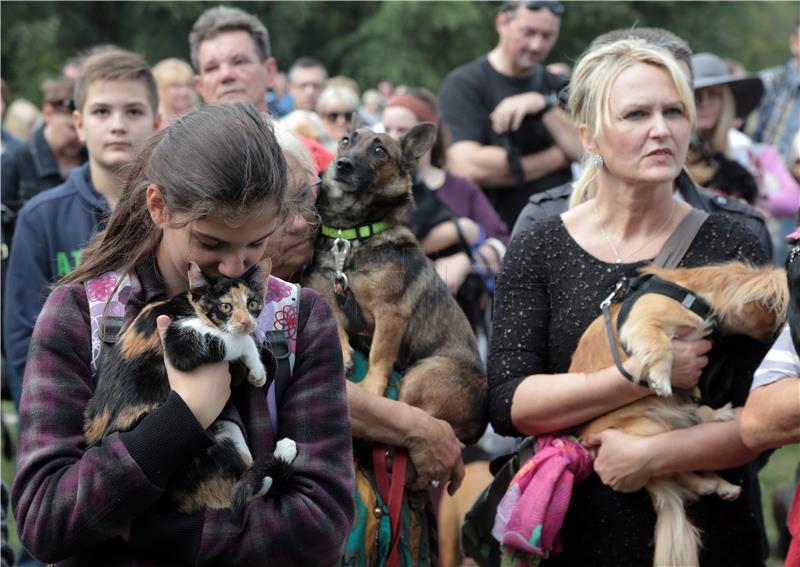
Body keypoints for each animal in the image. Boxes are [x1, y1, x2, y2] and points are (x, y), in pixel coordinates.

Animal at [84, 260, 296, 520]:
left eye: (253, 304)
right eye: (225, 306)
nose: (247, 322)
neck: (191, 306)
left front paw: (256, 370)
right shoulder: (178, 343)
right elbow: (235, 340)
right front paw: (254, 360)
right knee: (246, 488)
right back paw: (284, 451)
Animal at [304, 123, 484, 444]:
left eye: (379, 150)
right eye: (345, 141)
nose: (343, 164)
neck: (351, 236)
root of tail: (478, 424)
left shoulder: (391, 314)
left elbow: (379, 353)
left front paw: (370, 388)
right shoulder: (326, 288)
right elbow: (333, 319)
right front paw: (344, 351)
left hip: (422, 374)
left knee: (416, 415)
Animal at [568, 262, 788, 567]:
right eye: (771, 320)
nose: (772, 339)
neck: (695, 296)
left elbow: (692, 390)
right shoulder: (644, 324)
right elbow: (663, 348)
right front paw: (660, 378)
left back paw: (720, 475)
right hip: (651, 431)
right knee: (671, 470)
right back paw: (706, 483)